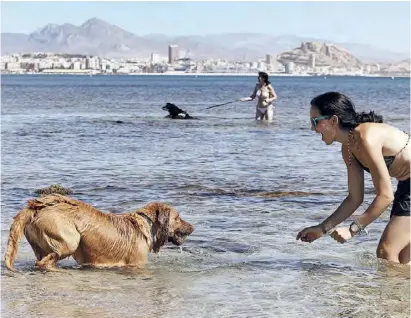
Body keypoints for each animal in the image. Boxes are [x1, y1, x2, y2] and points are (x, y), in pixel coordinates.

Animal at [4, 194, 195, 270]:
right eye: (178, 217)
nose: (192, 227)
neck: (147, 224)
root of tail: (37, 206)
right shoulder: (136, 263)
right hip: (70, 239)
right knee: (45, 262)